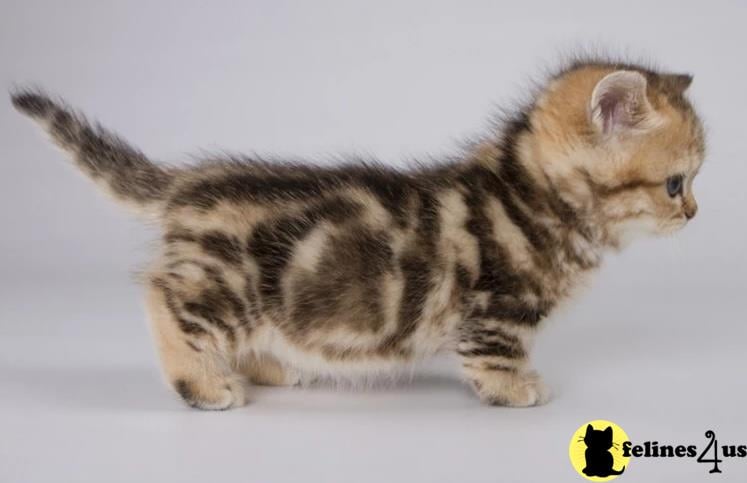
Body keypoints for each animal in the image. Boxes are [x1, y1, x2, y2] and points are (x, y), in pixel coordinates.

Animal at [10, 58, 708, 410]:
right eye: (676, 184)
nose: (695, 214)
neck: (532, 194)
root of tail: (188, 185)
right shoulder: (496, 307)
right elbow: (496, 353)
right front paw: (515, 388)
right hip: (226, 284)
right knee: (162, 295)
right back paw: (203, 382)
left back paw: (265, 368)